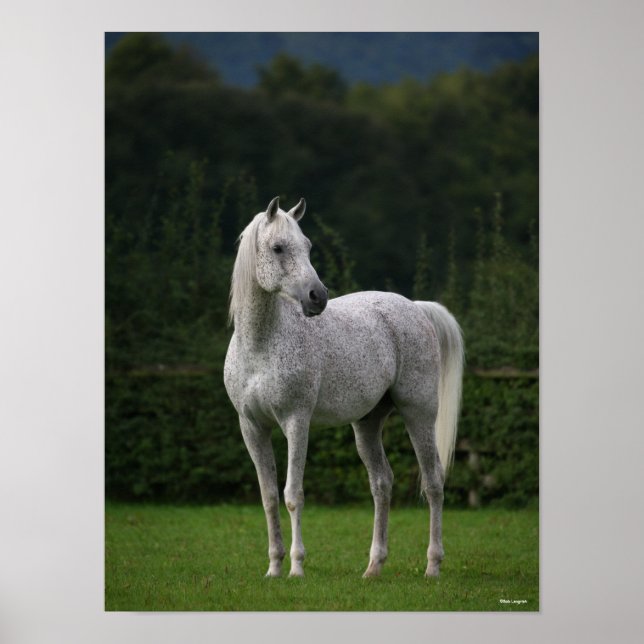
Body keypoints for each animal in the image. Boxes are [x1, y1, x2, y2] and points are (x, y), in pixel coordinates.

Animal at [224, 196, 464, 578]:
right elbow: (269, 497)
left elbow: (293, 494)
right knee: (381, 483)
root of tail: (415, 308)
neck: (261, 344)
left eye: (307, 246)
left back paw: (432, 566)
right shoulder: (252, 427)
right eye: (278, 248)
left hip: (419, 415)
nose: (317, 297)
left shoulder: (296, 423)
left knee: (433, 482)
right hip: (367, 425)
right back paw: (373, 567)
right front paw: (274, 567)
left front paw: (296, 567)